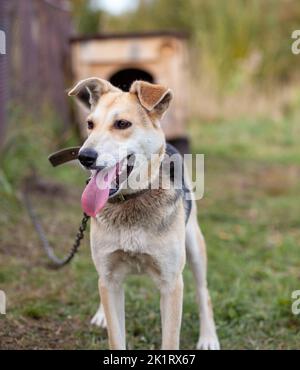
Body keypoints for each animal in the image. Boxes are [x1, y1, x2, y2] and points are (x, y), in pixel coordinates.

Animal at [68, 78, 219, 350]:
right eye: (90, 124)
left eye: (122, 124)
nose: (84, 157)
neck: (131, 200)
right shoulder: (110, 278)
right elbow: (116, 337)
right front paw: (105, 318)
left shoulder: (171, 284)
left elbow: (170, 340)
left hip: (194, 245)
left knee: (204, 293)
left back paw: (208, 337)